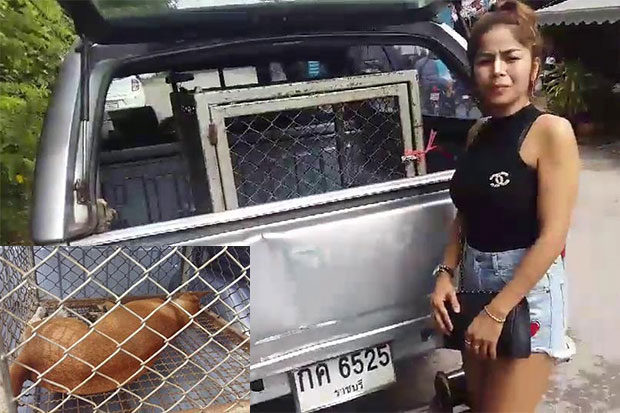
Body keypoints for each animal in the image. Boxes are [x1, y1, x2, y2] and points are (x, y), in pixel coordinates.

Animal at [9, 292, 203, 394]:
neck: (178, 317)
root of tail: (30, 359)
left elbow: (112, 304)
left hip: (61, 326)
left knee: (30, 324)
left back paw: (50, 311)